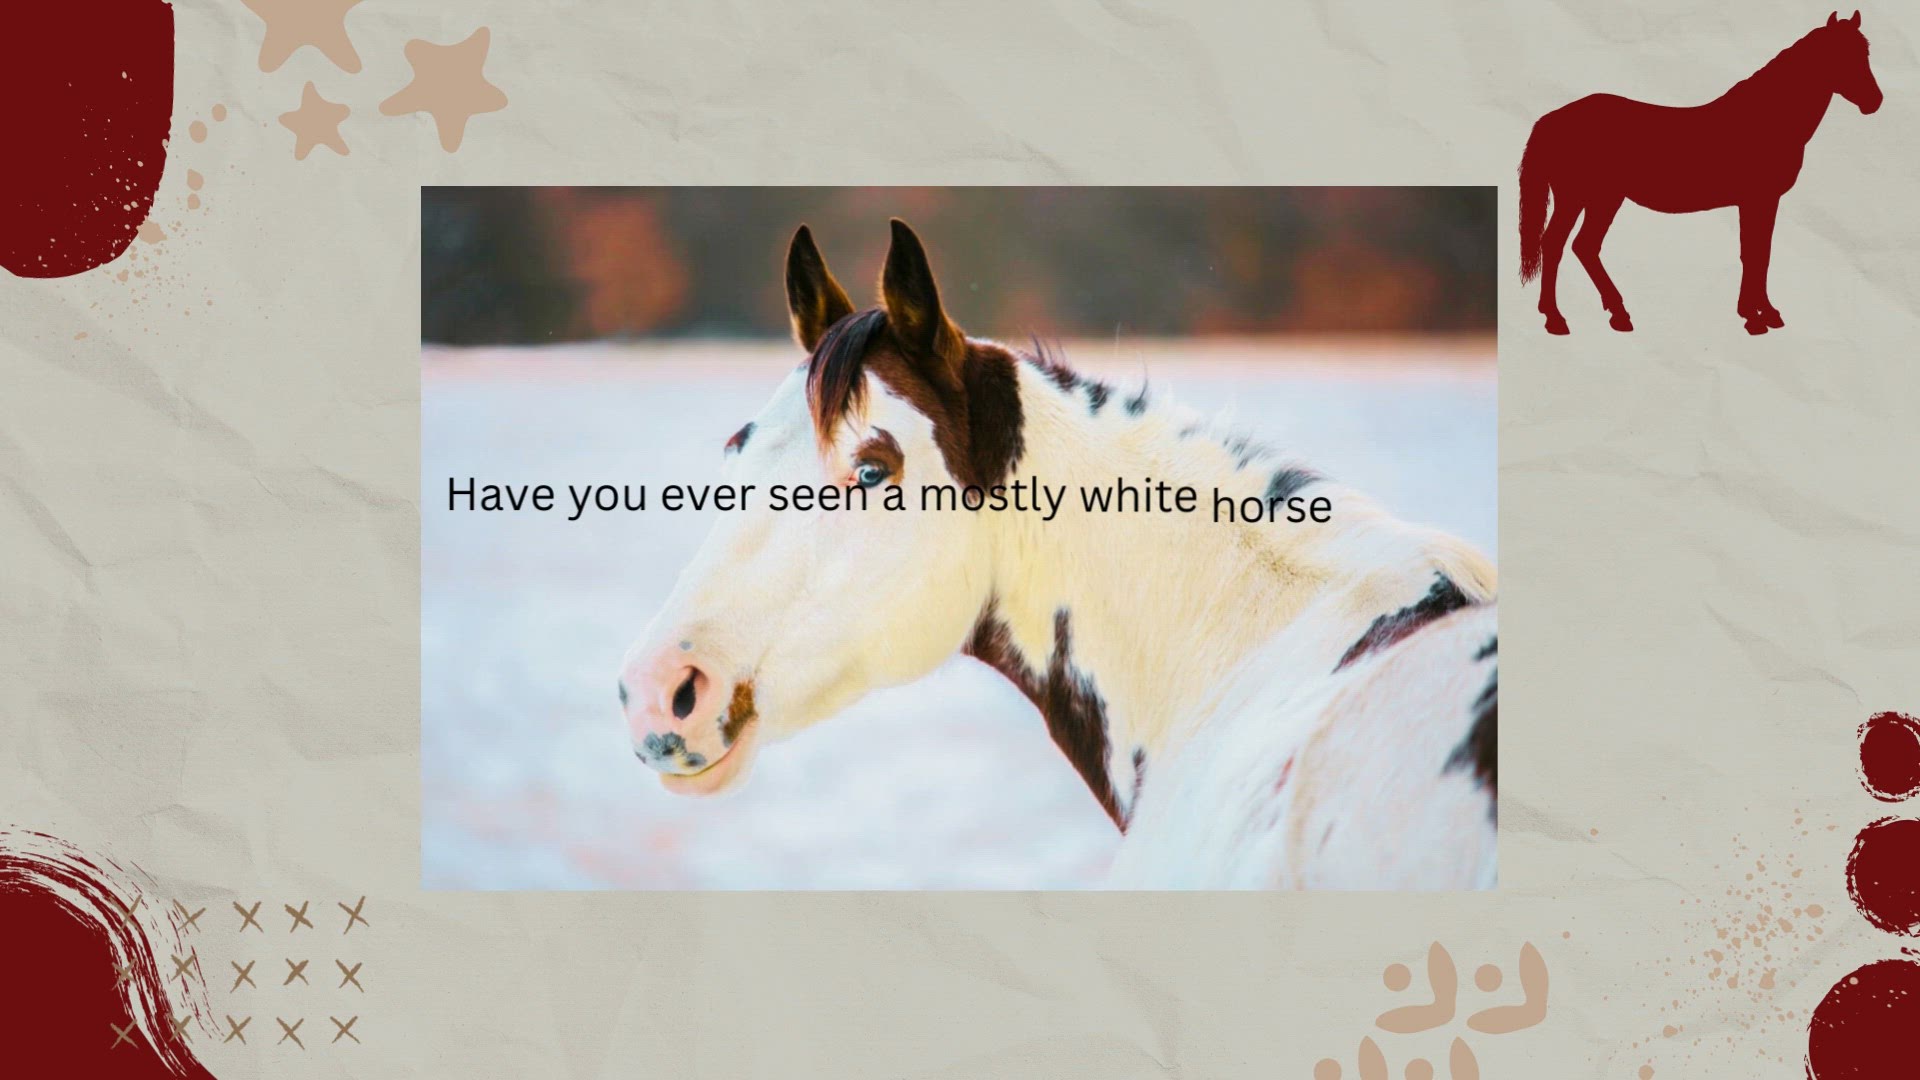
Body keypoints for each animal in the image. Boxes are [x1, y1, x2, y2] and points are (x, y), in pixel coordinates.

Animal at [1519, 11, 1881, 336]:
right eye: (1839, 55)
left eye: (1865, 53)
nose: (1874, 101)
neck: (1766, 118)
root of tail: (1552, 119)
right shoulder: (1757, 199)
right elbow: (1753, 254)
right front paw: (1754, 318)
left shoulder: (1764, 201)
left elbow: (1760, 254)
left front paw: (1765, 312)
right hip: (1579, 197)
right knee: (1556, 245)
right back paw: (1557, 319)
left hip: (1602, 199)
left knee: (1582, 246)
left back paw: (1617, 315)